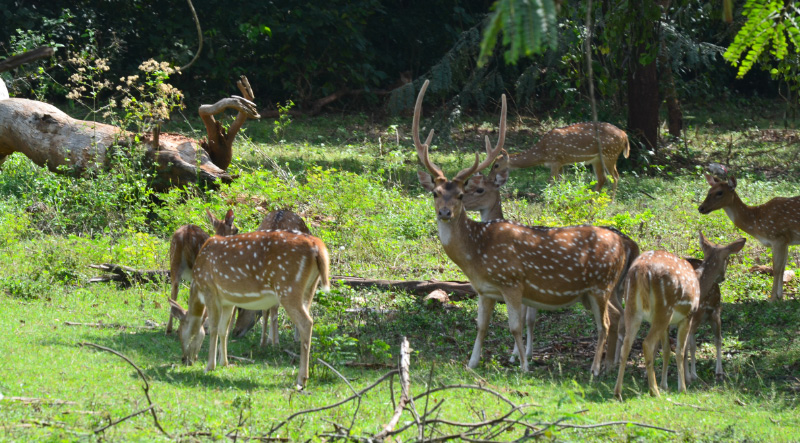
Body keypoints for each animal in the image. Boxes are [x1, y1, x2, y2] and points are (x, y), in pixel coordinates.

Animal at [168, 230, 330, 388]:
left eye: (180, 332)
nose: (185, 359)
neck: (197, 286)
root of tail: (318, 246)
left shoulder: (210, 290)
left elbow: (213, 328)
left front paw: (209, 367)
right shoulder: (228, 301)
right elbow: (223, 329)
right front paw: (224, 363)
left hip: (288, 287)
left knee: (306, 323)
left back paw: (301, 379)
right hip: (309, 289)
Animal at [231, 210, 312, 346]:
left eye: (241, 308)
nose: (235, 332)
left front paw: (275, 343)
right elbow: (267, 309)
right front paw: (265, 341)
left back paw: (296, 338)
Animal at [462, 151, 638, 365]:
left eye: (479, 189)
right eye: (467, 184)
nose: (460, 203)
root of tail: (632, 245)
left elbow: (524, 319)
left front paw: (516, 356)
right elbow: (529, 319)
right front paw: (525, 354)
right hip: (617, 288)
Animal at [613, 233, 745, 400]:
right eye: (728, 258)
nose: (722, 277)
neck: (699, 282)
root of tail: (641, 270)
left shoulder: (669, 324)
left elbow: (666, 350)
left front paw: (665, 385)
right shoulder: (688, 316)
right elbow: (681, 350)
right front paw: (682, 387)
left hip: (632, 308)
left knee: (626, 345)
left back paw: (618, 392)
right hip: (664, 309)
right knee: (647, 344)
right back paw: (654, 391)